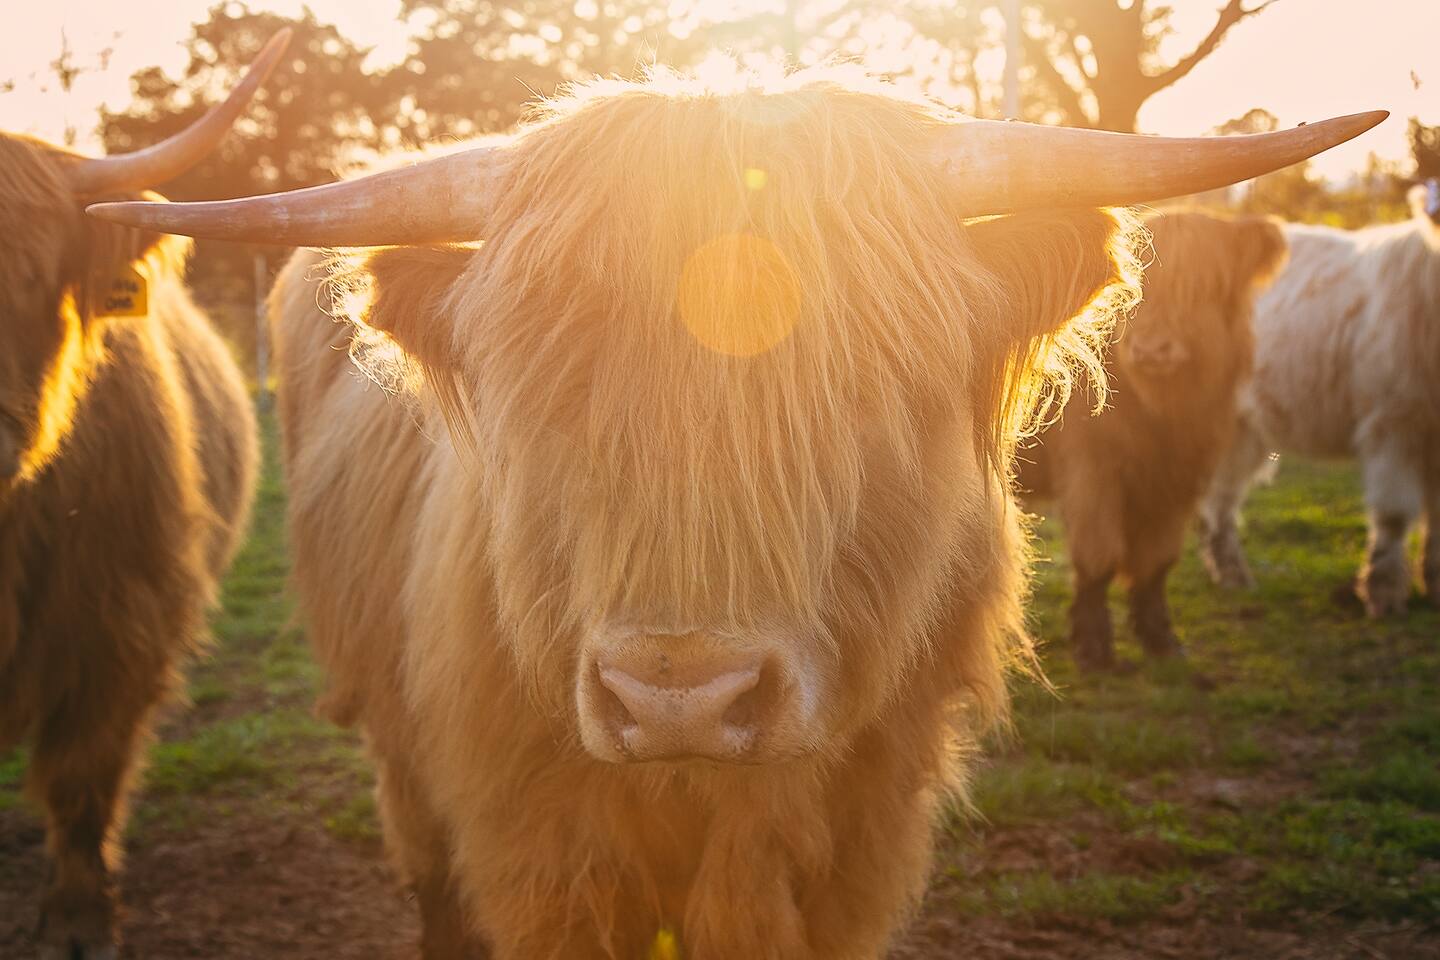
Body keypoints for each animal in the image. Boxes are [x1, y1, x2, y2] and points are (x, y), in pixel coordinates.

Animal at [1015, 212, 1288, 671]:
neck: (1160, 416)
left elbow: (1156, 560)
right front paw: (1093, 648)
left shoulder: (1178, 479)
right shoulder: (1093, 473)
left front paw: (1162, 639)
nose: (1152, 349)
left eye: (1202, 287)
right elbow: (1099, 555)